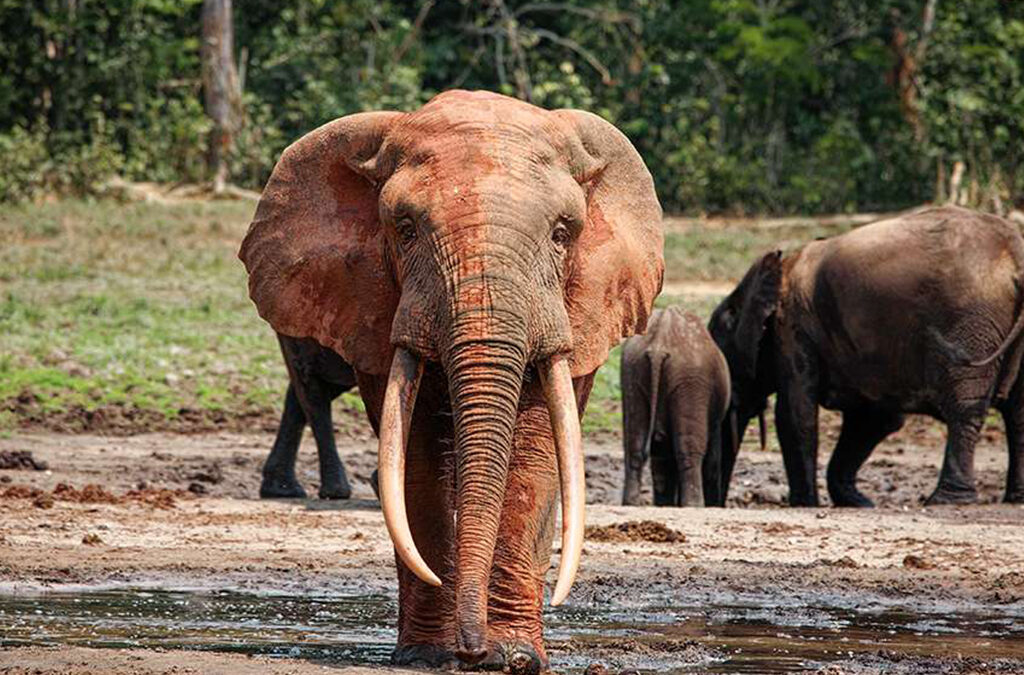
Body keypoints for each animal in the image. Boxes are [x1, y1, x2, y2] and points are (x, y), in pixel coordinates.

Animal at [620, 306, 731, 507]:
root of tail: (659, 341)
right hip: (689, 380)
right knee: (688, 450)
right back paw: (694, 506)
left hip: (633, 372)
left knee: (636, 444)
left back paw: (631, 503)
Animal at [708, 206, 1024, 508]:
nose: (718, 503)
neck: (776, 268)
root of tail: (1016, 252)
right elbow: (874, 419)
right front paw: (859, 502)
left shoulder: (792, 328)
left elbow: (794, 415)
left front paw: (804, 504)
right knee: (1017, 412)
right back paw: (1014, 498)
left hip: (970, 320)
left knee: (965, 406)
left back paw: (946, 500)